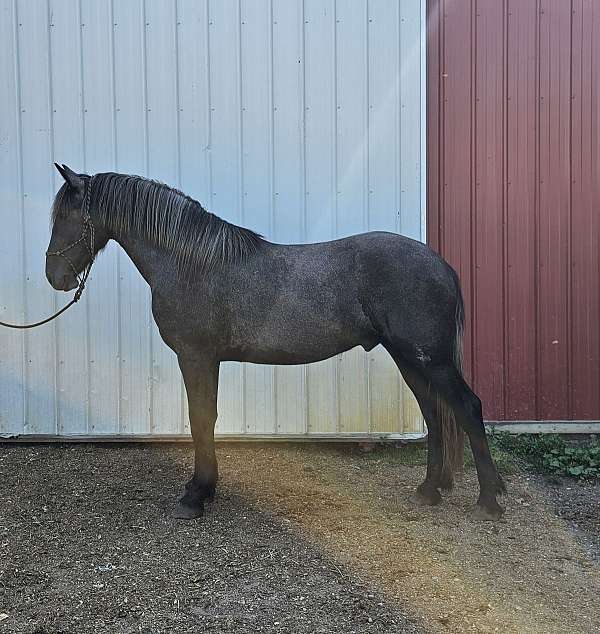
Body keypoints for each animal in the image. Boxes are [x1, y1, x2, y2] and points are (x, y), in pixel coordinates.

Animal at [47, 163, 506, 520]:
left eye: (66, 217)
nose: (56, 277)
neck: (192, 263)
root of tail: (441, 265)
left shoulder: (196, 357)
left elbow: (201, 419)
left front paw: (195, 495)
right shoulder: (206, 360)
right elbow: (206, 418)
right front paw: (204, 489)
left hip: (431, 359)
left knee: (467, 407)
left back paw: (489, 500)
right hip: (411, 359)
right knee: (434, 412)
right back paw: (430, 490)